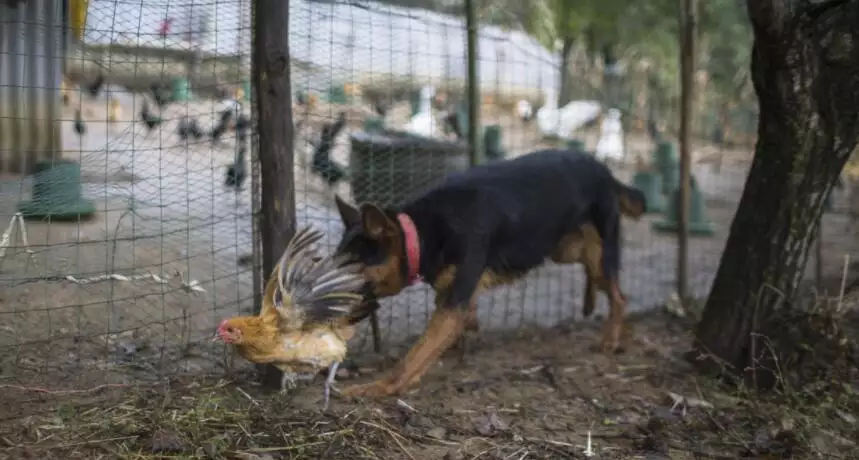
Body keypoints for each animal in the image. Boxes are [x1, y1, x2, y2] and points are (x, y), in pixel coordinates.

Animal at [336, 148, 644, 398]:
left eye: (350, 272)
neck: (421, 233)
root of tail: (604, 169)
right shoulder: (451, 295)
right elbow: (451, 330)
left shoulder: (453, 303)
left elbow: (413, 356)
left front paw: (378, 387)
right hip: (566, 249)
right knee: (600, 280)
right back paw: (591, 301)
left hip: (598, 253)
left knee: (619, 296)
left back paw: (610, 340)